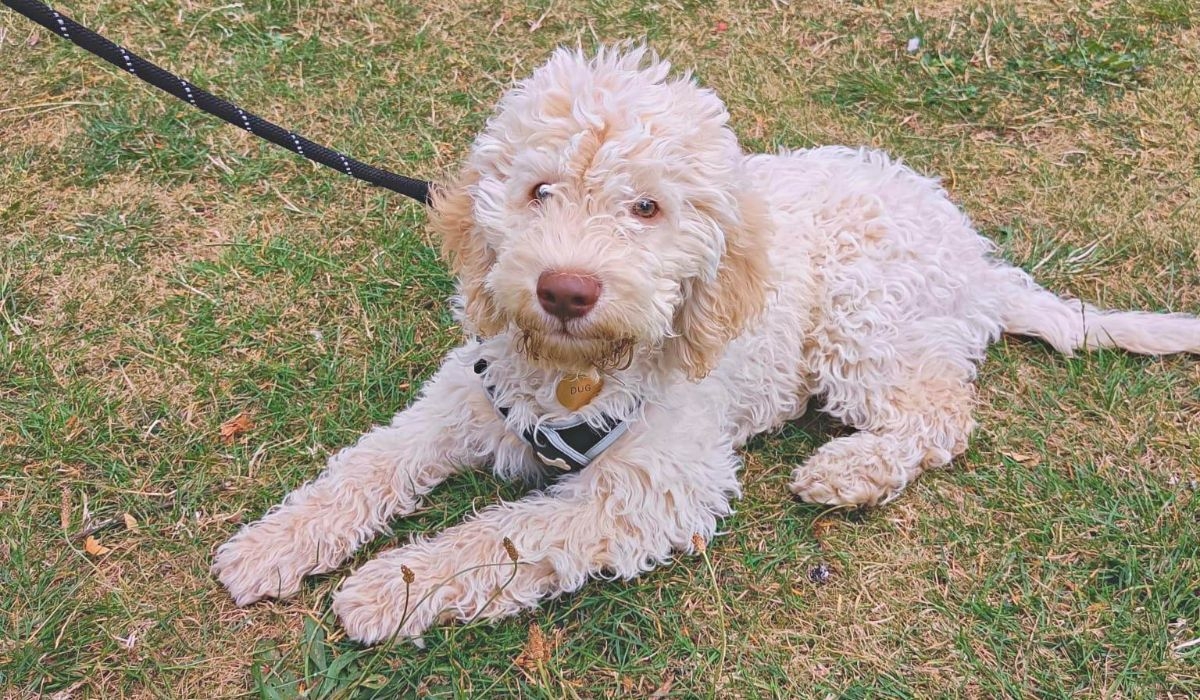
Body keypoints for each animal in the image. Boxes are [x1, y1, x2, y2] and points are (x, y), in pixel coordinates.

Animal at [216, 46, 1200, 643]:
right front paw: (272, 546)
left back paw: (850, 471)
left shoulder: (659, 484)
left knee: (941, 413)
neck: (579, 373)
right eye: (538, 190)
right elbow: (369, 463)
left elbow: (508, 537)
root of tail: (974, 258)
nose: (564, 289)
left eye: (646, 207)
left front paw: (392, 585)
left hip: (864, 317)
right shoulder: (466, 394)